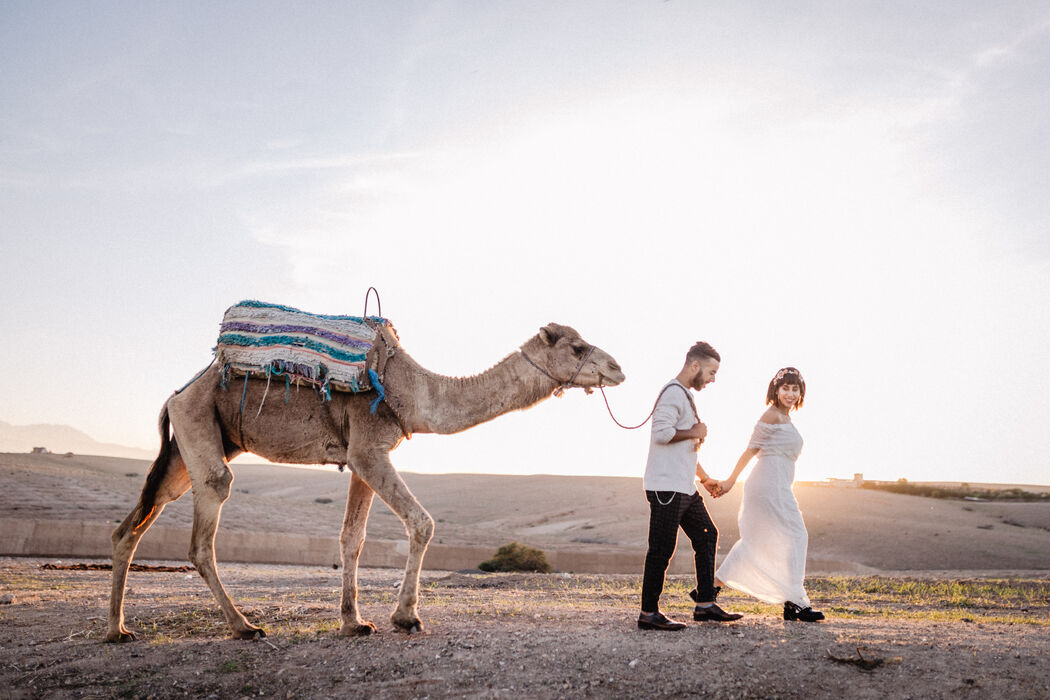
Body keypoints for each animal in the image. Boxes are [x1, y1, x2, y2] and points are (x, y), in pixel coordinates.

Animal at [106, 321, 621, 642]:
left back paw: (118, 631)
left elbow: (352, 538)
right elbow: (422, 522)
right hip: (200, 430)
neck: (414, 391)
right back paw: (244, 627)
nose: (617, 368)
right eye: (577, 347)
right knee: (204, 526)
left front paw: (354, 622)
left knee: (132, 525)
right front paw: (406, 616)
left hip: (187, 448)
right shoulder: (370, 449)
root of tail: (175, 395)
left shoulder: (359, 460)